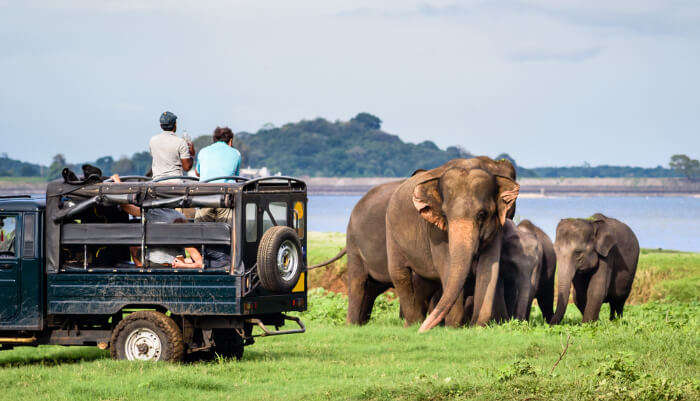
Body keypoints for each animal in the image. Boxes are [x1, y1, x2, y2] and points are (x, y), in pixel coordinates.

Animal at [388, 157, 520, 332]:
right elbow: (447, 266)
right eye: (444, 215)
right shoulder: (435, 231)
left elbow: (489, 268)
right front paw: (453, 328)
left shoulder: (497, 226)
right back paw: (413, 324)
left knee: (424, 282)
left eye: (482, 214)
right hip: (391, 234)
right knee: (400, 274)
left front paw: (478, 326)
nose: (422, 330)